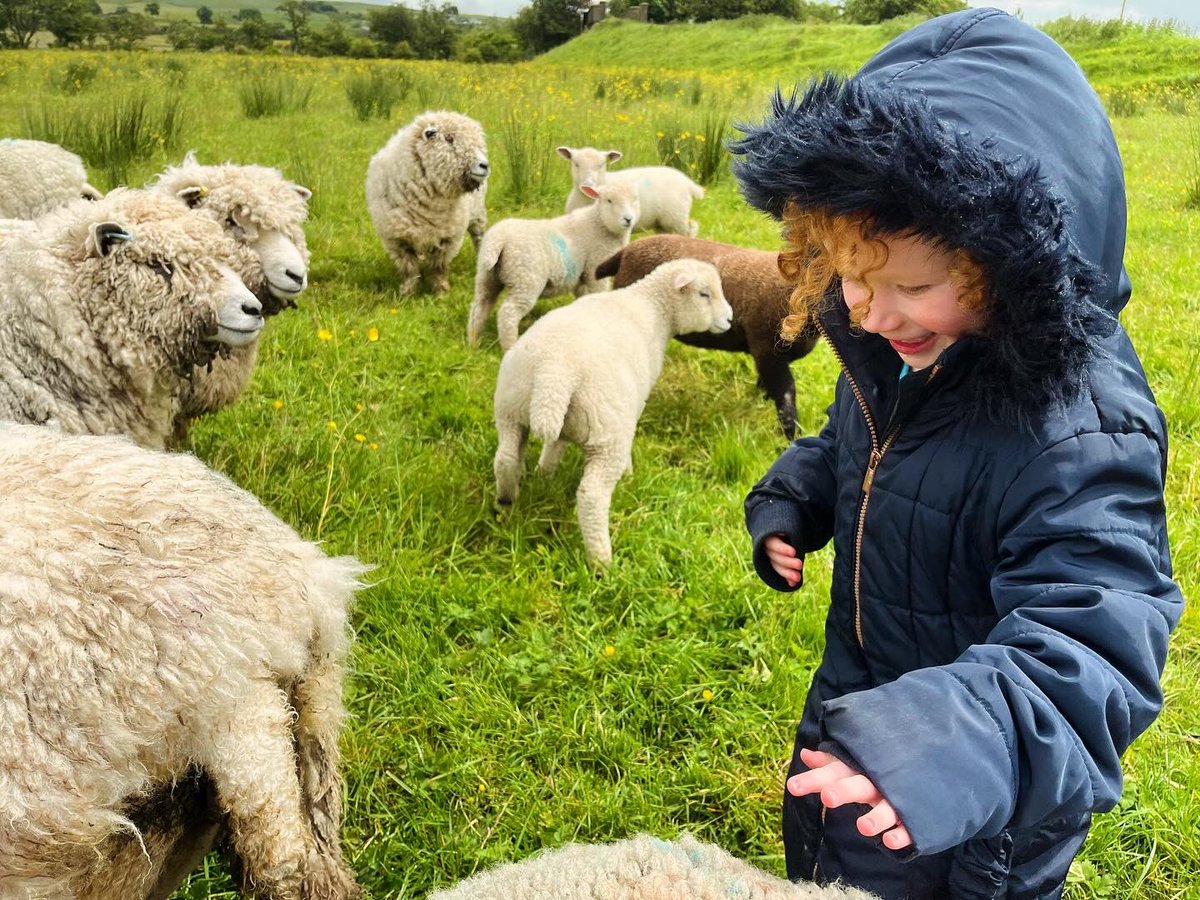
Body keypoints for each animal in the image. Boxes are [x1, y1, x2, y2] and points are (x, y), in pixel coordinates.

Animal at [366, 110, 490, 296]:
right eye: (449, 139)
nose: (484, 165)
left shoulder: (448, 237)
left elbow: (439, 268)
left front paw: (441, 292)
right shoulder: (397, 239)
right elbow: (409, 269)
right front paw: (407, 293)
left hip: (478, 214)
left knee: (479, 238)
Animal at [468, 180, 640, 353]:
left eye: (635, 199)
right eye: (609, 200)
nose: (628, 219)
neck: (599, 224)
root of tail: (498, 240)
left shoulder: (582, 276)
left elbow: (582, 296)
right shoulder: (595, 267)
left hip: (486, 276)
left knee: (480, 307)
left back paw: (474, 342)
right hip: (525, 278)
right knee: (508, 312)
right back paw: (509, 346)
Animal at [492, 258, 732, 566]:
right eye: (704, 294)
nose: (729, 319)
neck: (653, 308)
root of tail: (555, 369)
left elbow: (555, 445)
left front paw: (545, 472)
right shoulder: (634, 404)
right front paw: (628, 473)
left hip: (511, 410)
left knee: (506, 459)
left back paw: (505, 502)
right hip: (607, 434)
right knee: (592, 496)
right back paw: (602, 561)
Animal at [557, 145, 703, 237]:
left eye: (601, 165)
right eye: (576, 164)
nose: (588, 184)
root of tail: (688, 182)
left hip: (676, 217)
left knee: (691, 229)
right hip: (663, 223)